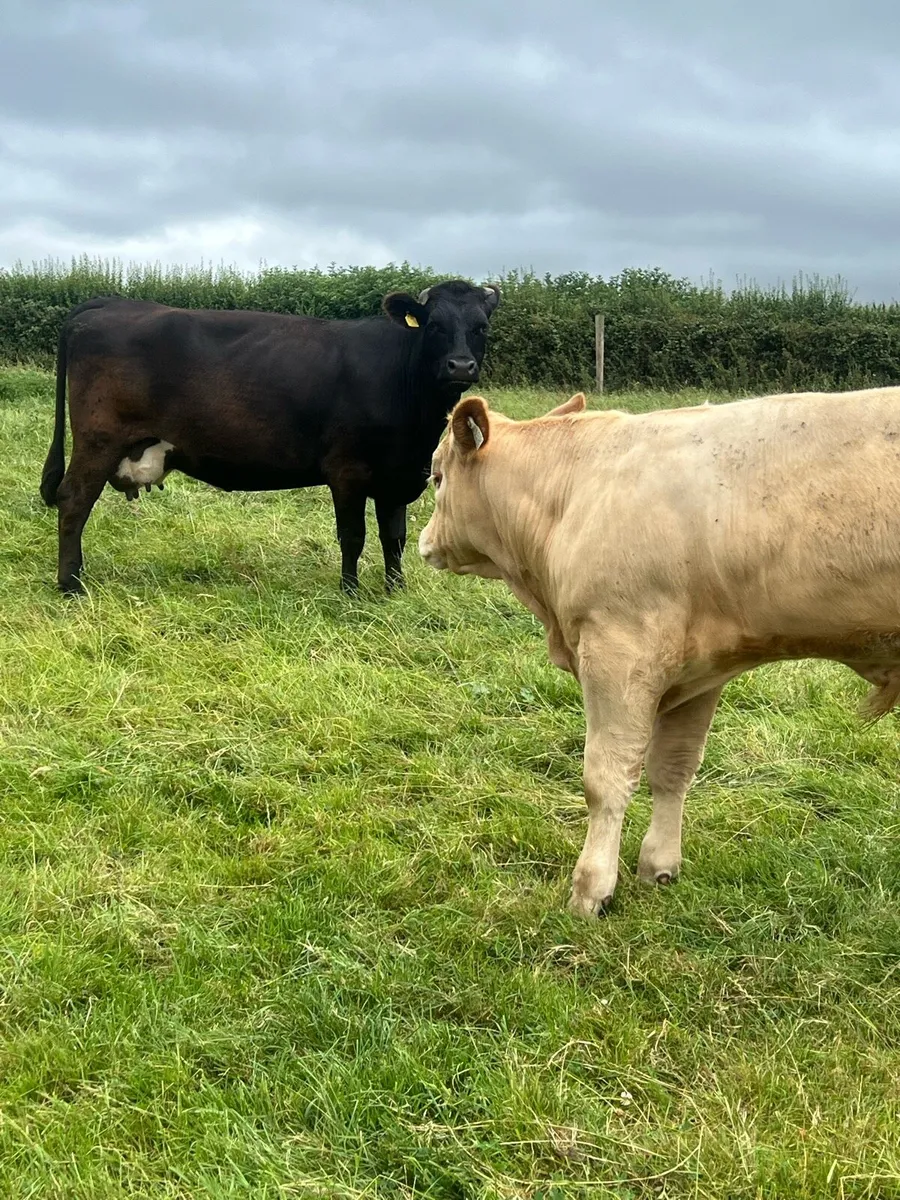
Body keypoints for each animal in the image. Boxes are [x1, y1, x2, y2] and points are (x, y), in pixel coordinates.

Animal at [39, 279, 500, 595]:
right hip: (99, 441)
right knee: (73, 500)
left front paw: (395, 591)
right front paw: (350, 593)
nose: (461, 365)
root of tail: (109, 302)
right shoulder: (347, 471)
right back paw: (71, 584)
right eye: (434, 325)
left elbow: (394, 537)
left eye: (480, 327)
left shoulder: (397, 475)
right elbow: (353, 536)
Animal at [419, 386, 900, 916]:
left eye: (436, 476)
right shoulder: (701, 667)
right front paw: (659, 867)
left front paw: (591, 890)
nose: (424, 542)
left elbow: (605, 778)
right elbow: (674, 767)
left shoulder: (618, 649)